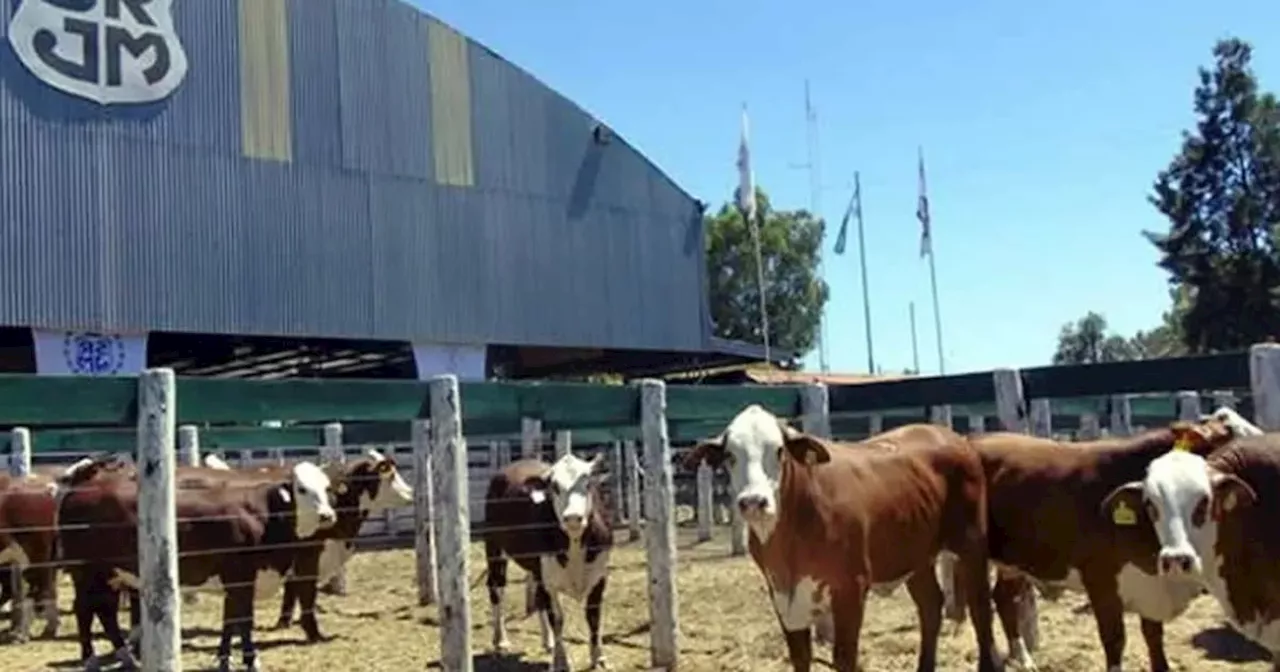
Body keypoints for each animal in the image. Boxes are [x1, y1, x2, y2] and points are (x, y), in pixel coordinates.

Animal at [56, 453, 337, 665]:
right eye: (302, 489)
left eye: (326, 488)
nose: (327, 515)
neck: (262, 514)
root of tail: (84, 483)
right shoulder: (240, 577)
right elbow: (243, 620)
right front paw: (250, 659)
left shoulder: (236, 581)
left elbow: (231, 620)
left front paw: (225, 659)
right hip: (85, 572)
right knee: (84, 609)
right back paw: (91, 659)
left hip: (110, 574)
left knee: (105, 612)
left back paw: (127, 658)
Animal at [483, 450, 614, 670]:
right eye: (554, 487)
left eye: (587, 483)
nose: (573, 517)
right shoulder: (548, 581)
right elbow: (557, 619)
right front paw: (561, 660)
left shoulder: (599, 576)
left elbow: (593, 616)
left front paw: (599, 657)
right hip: (494, 549)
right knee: (496, 589)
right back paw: (501, 640)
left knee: (537, 599)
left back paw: (548, 641)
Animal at [680, 404, 998, 670]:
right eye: (730, 455)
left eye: (780, 451)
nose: (753, 501)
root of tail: (951, 436)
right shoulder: (782, 592)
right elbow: (801, 656)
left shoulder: (850, 587)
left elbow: (844, 657)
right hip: (915, 553)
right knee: (930, 606)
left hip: (971, 543)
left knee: (981, 608)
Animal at [972, 419, 1233, 670]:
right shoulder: (1100, 582)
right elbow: (1115, 640)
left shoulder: (1151, 586)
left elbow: (1154, 638)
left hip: (1014, 560)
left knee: (1004, 598)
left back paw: (1023, 658)